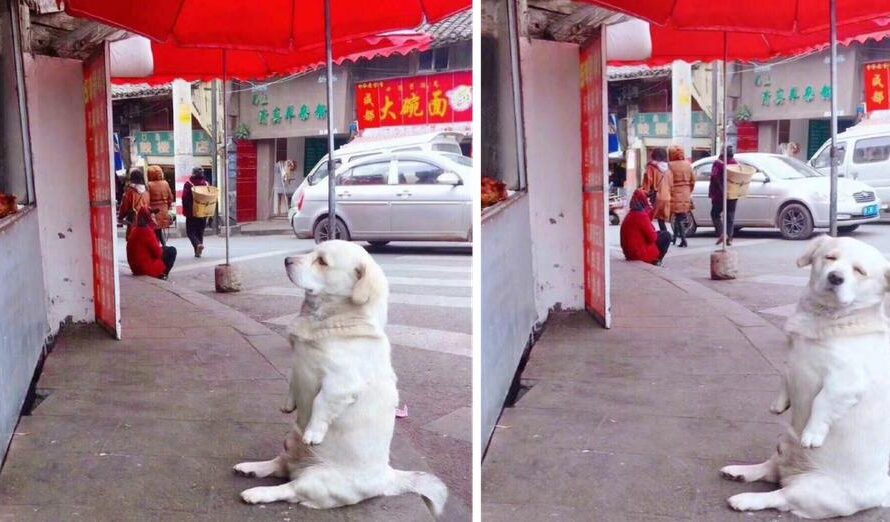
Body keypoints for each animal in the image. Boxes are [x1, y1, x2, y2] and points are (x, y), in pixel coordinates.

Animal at [232, 241, 448, 516]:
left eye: (322, 261)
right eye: (312, 252)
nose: (287, 260)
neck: (326, 319)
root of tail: (387, 478)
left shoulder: (340, 384)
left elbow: (321, 405)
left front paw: (314, 433)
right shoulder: (297, 365)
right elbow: (292, 382)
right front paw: (288, 404)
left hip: (316, 479)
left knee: (288, 488)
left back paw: (256, 493)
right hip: (289, 441)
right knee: (279, 465)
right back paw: (251, 468)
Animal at [720, 235, 888, 516]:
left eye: (859, 271)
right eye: (830, 258)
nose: (835, 277)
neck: (824, 320)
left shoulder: (845, 381)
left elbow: (822, 402)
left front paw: (812, 434)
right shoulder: (791, 359)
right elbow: (784, 378)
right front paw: (779, 404)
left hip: (810, 490)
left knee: (779, 495)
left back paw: (745, 499)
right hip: (782, 449)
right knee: (769, 469)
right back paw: (739, 472)